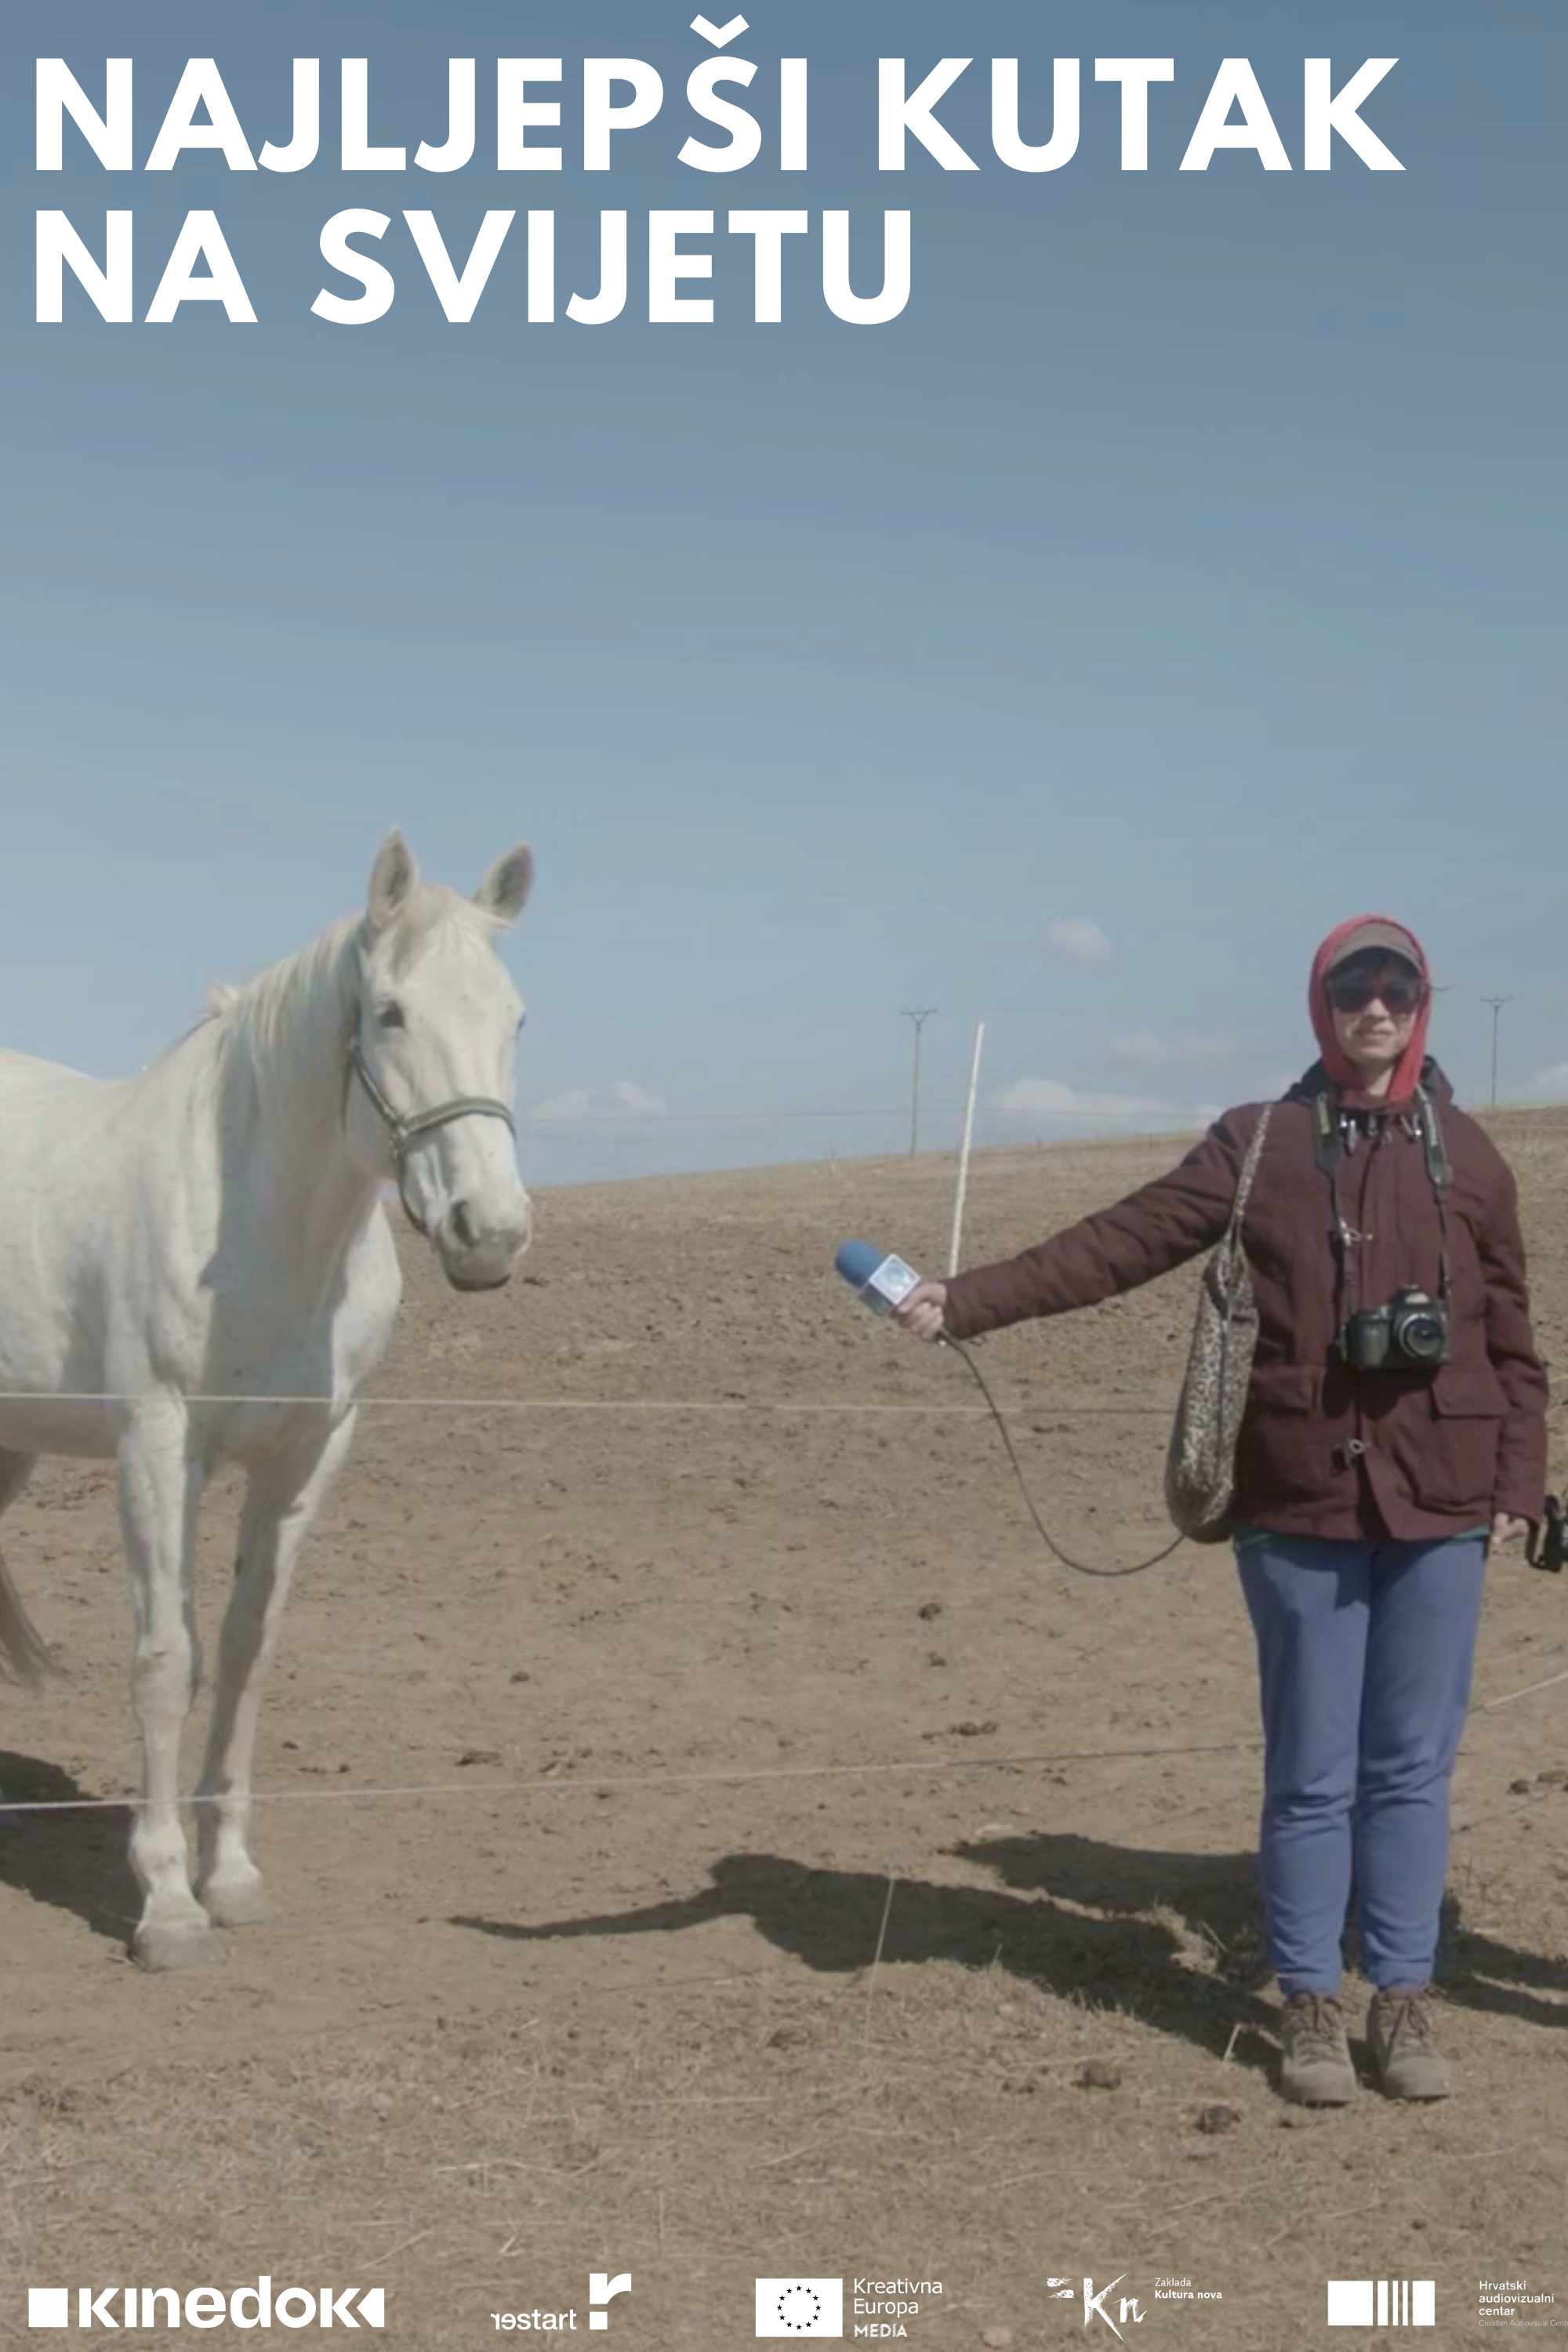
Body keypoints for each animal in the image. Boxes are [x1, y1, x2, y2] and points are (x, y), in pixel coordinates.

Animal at [0, 828, 533, 1966]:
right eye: (391, 1012)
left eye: (515, 1016)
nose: (491, 1232)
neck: (256, 1223)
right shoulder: (158, 1448)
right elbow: (169, 1658)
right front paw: (166, 1904)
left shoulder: (306, 1454)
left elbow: (247, 1650)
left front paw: (231, 1876)